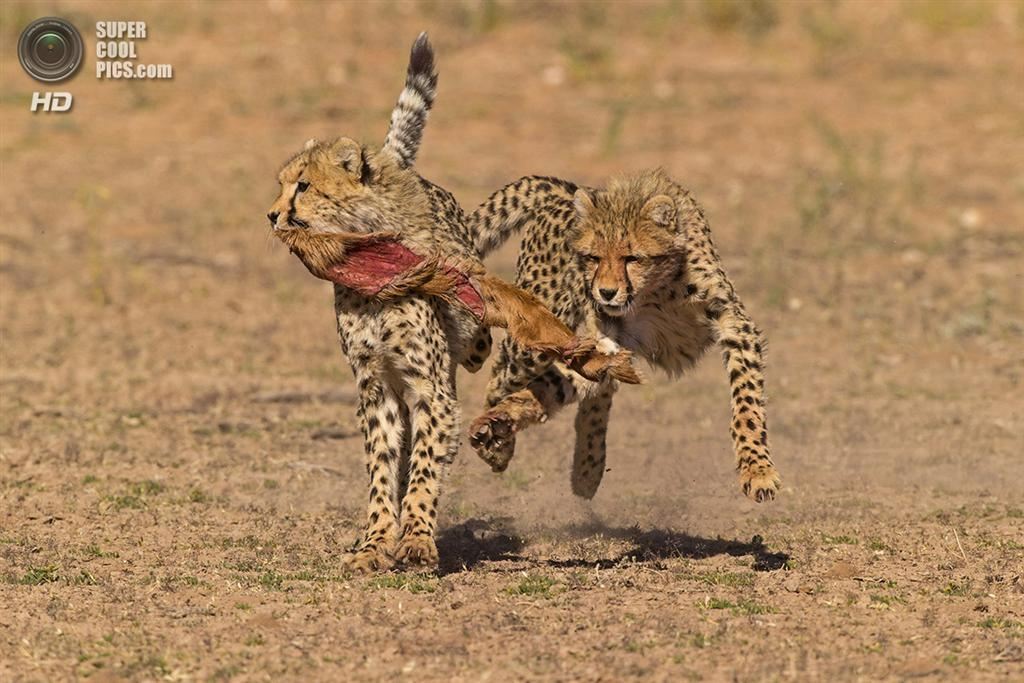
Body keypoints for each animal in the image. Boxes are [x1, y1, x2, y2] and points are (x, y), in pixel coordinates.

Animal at [266, 36, 630, 573]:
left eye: (304, 186)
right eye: (282, 184)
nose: (272, 215)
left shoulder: (430, 387)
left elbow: (423, 471)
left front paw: (415, 540)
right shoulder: (376, 387)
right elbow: (383, 471)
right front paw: (375, 542)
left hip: (476, 332)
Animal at [468, 169, 778, 501]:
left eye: (631, 258)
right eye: (593, 258)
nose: (605, 292)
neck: (658, 289)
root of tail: (565, 190)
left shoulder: (733, 322)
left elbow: (746, 401)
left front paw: (757, 471)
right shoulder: (607, 338)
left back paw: (580, 465)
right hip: (536, 340)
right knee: (502, 378)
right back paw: (497, 440)